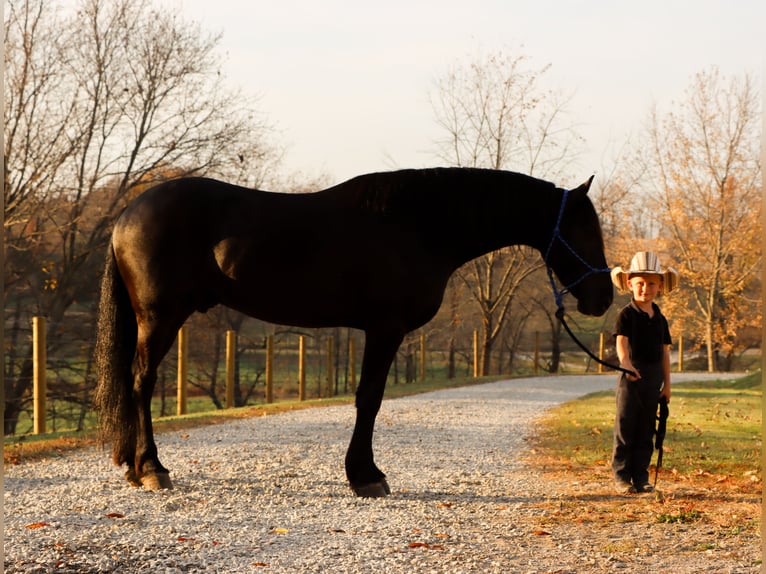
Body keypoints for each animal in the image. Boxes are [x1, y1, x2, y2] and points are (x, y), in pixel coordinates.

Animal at [94, 167, 613, 496]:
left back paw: (137, 469)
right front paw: (366, 476)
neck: (418, 225)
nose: (603, 298)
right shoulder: (385, 329)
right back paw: (153, 469)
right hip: (160, 317)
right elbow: (370, 399)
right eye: (585, 231)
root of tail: (126, 216)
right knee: (141, 382)